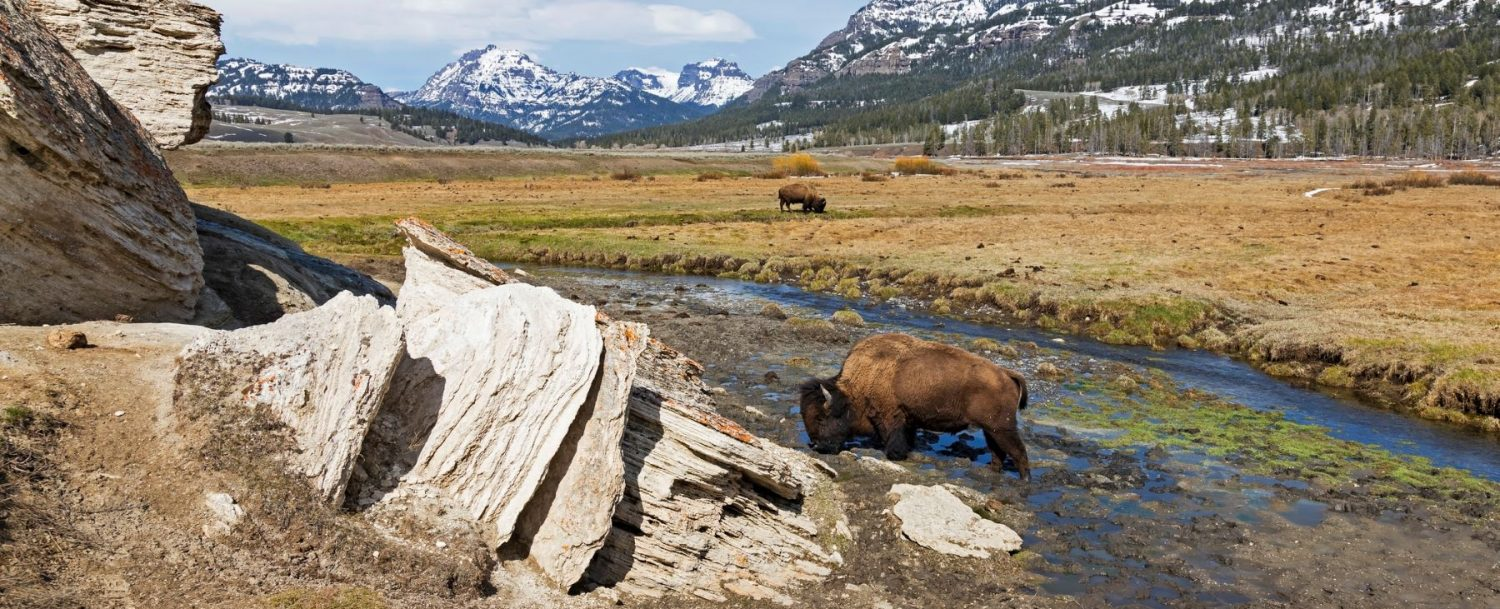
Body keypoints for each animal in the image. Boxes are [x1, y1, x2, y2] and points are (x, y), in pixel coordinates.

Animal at [798, 333, 1032, 480]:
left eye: (821, 417)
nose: (816, 445)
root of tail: (1006, 373)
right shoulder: (907, 419)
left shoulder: (891, 416)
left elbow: (894, 439)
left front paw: (895, 455)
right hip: (991, 429)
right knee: (997, 453)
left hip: (1002, 428)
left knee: (1019, 452)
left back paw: (1024, 480)